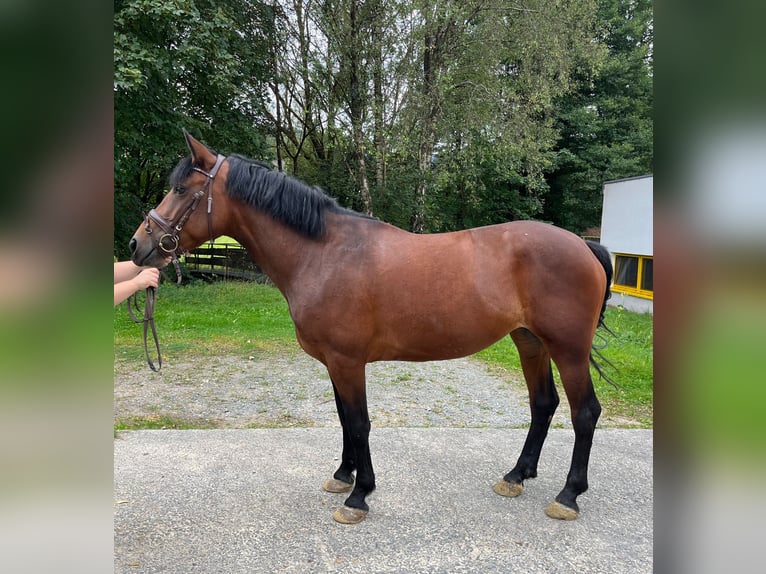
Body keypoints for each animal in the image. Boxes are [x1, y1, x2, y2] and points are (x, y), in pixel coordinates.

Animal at [129, 132, 616, 528]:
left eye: (180, 189)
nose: (138, 245)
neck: (324, 253)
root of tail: (583, 244)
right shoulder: (334, 362)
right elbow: (345, 418)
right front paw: (343, 477)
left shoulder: (348, 360)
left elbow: (360, 422)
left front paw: (359, 497)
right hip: (529, 341)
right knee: (543, 405)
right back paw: (516, 476)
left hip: (568, 349)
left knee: (584, 412)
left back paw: (568, 496)